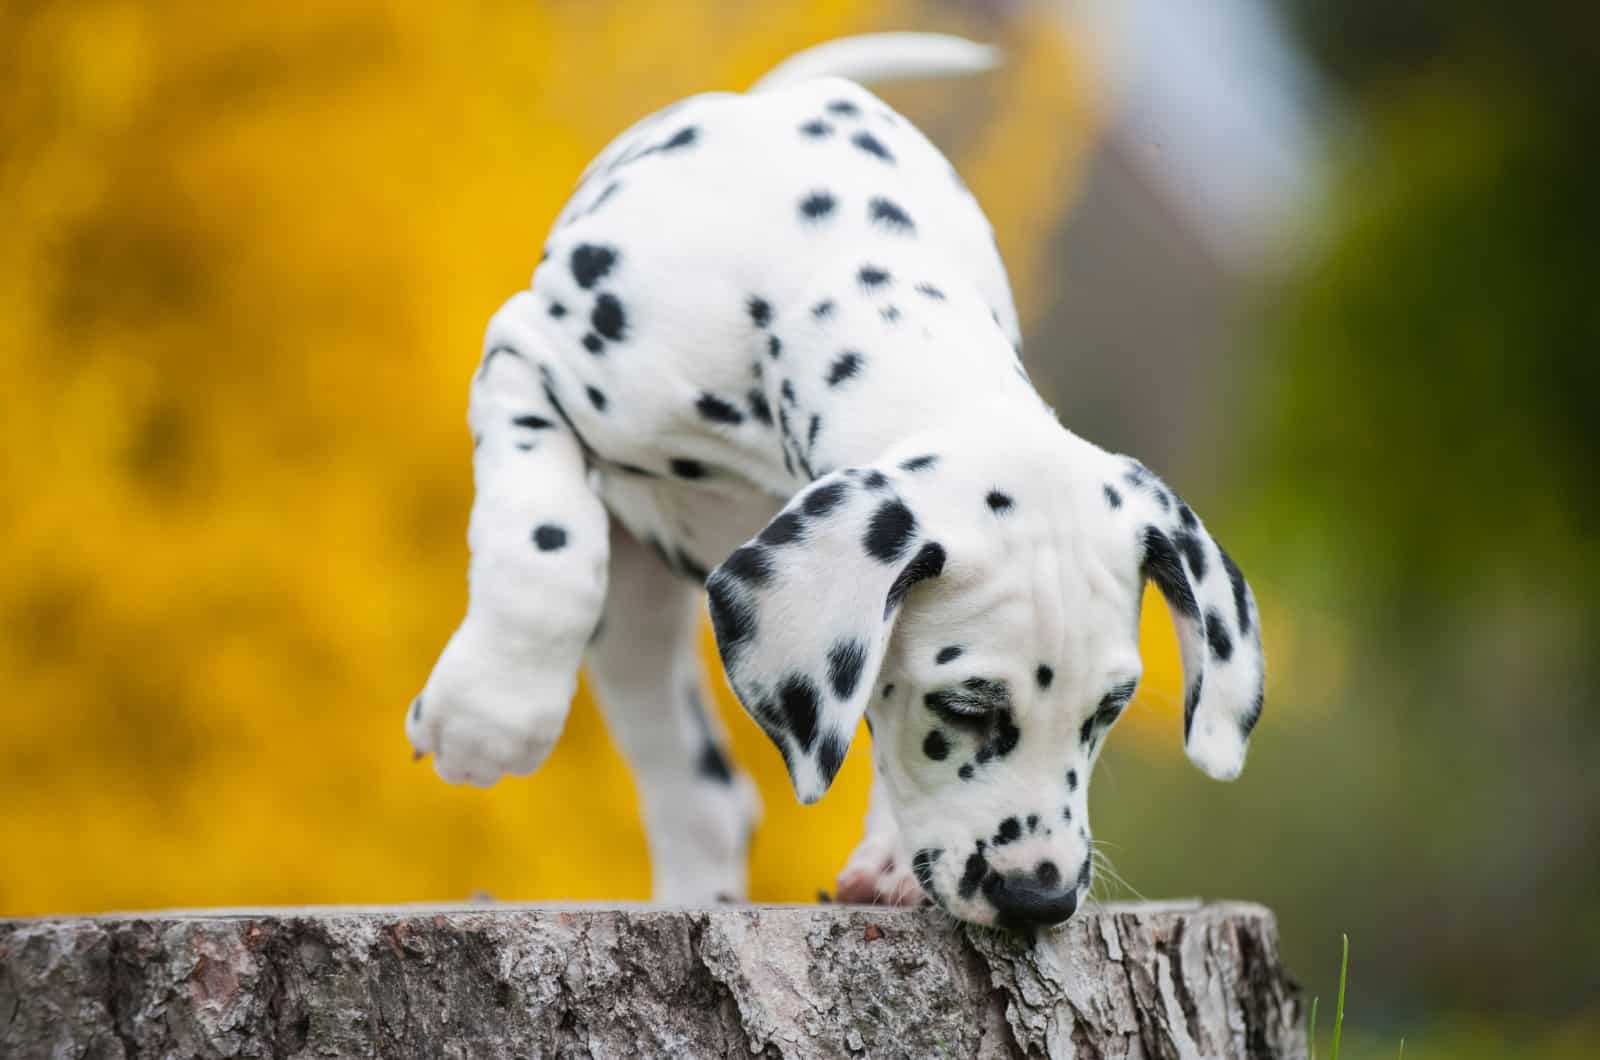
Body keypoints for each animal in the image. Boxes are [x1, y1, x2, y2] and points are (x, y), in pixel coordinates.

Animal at [406, 33, 1267, 928]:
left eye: (1108, 709)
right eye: (966, 706)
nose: (1042, 898)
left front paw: (889, 858)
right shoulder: (526, 357)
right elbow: (545, 547)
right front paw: (490, 712)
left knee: (709, 802)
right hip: (631, 601)